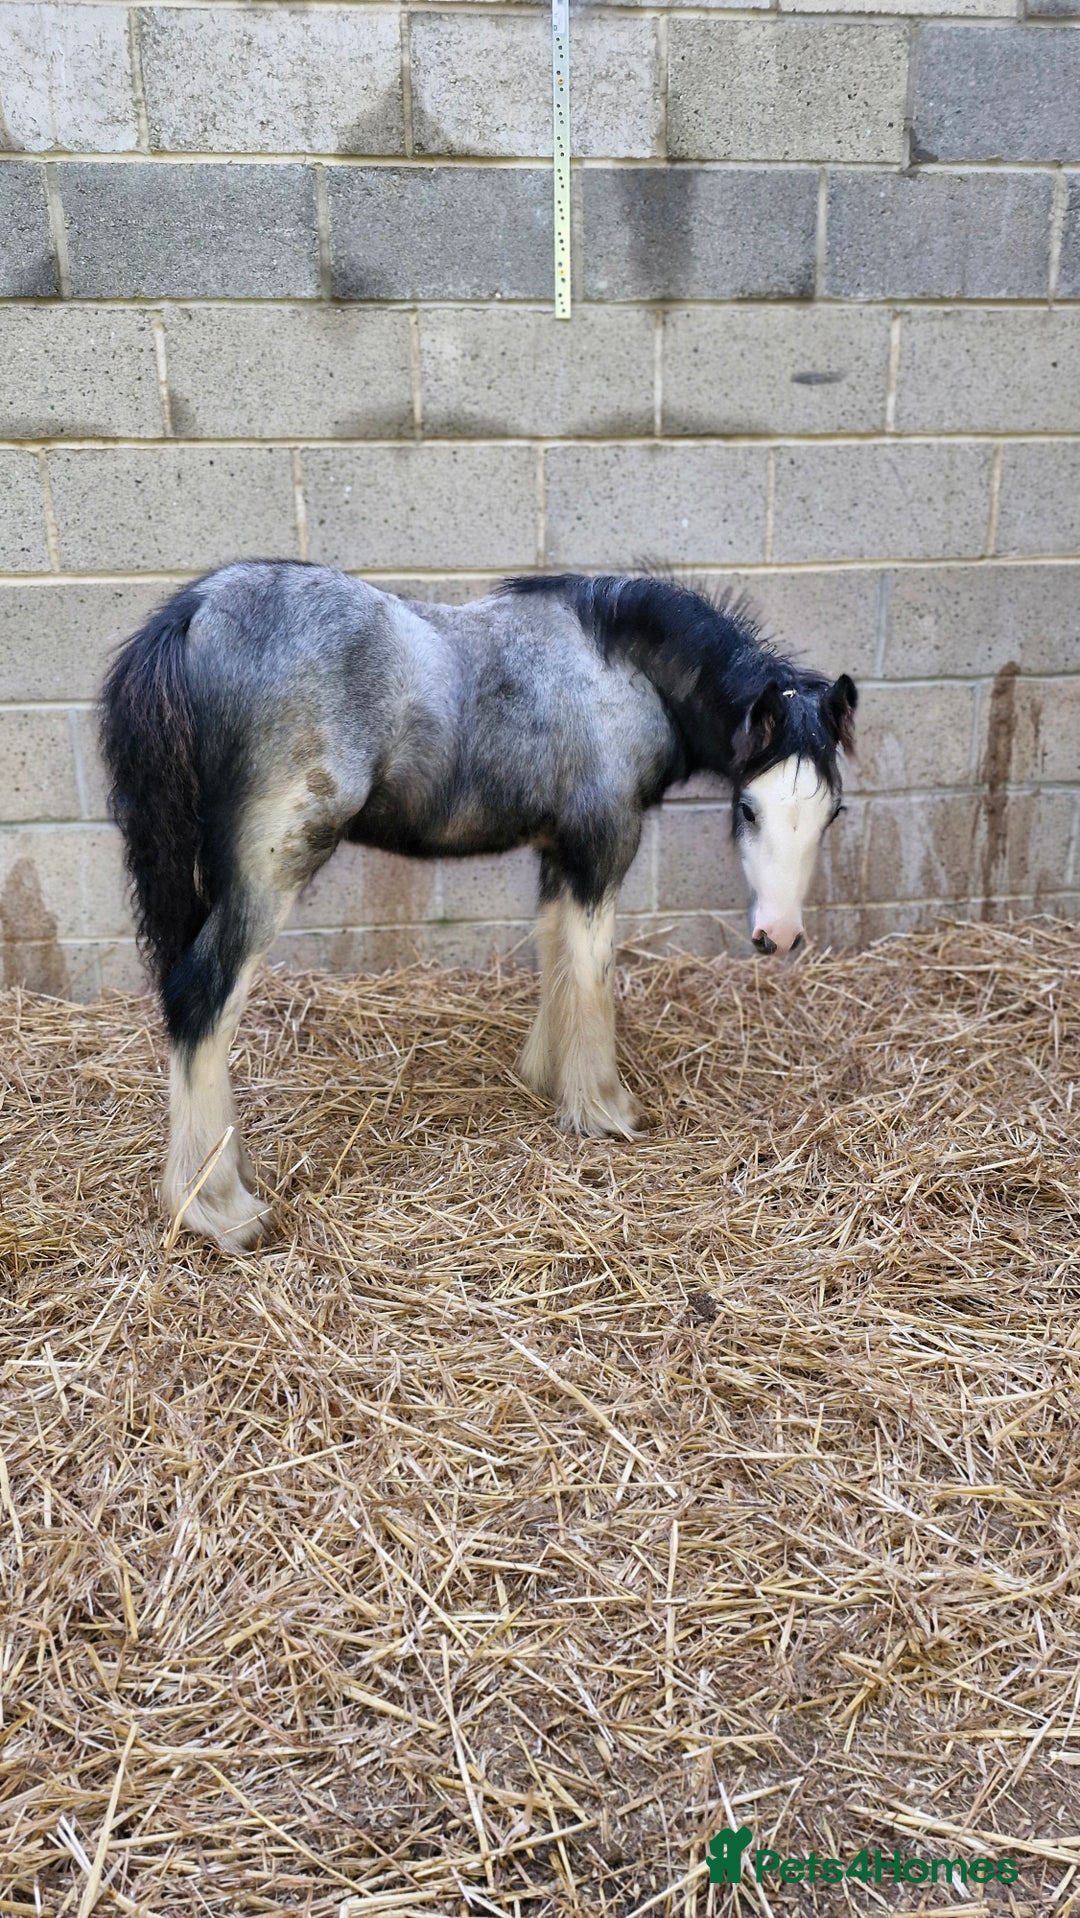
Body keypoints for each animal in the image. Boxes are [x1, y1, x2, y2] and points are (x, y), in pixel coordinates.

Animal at [100, 564, 857, 1252]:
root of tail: (196, 611)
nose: (779, 935)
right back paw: (218, 1207)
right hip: (272, 866)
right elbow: (593, 968)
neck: (616, 663)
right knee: (200, 997)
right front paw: (604, 1108)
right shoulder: (604, 844)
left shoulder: (560, 851)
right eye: (748, 809)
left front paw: (547, 1077)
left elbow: (557, 951)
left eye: (832, 812)